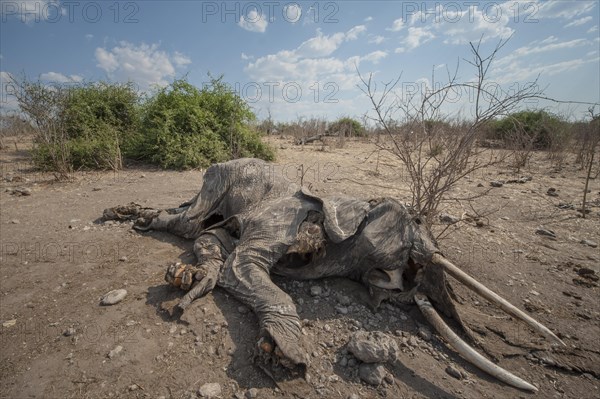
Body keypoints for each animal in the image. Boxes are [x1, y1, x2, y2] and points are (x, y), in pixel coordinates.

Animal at [103, 158, 564, 392]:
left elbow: (222, 249)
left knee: (199, 225)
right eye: (415, 222)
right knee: (189, 221)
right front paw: (288, 355)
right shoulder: (279, 219)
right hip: (218, 178)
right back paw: (133, 218)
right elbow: (240, 268)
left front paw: (196, 279)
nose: (413, 280)